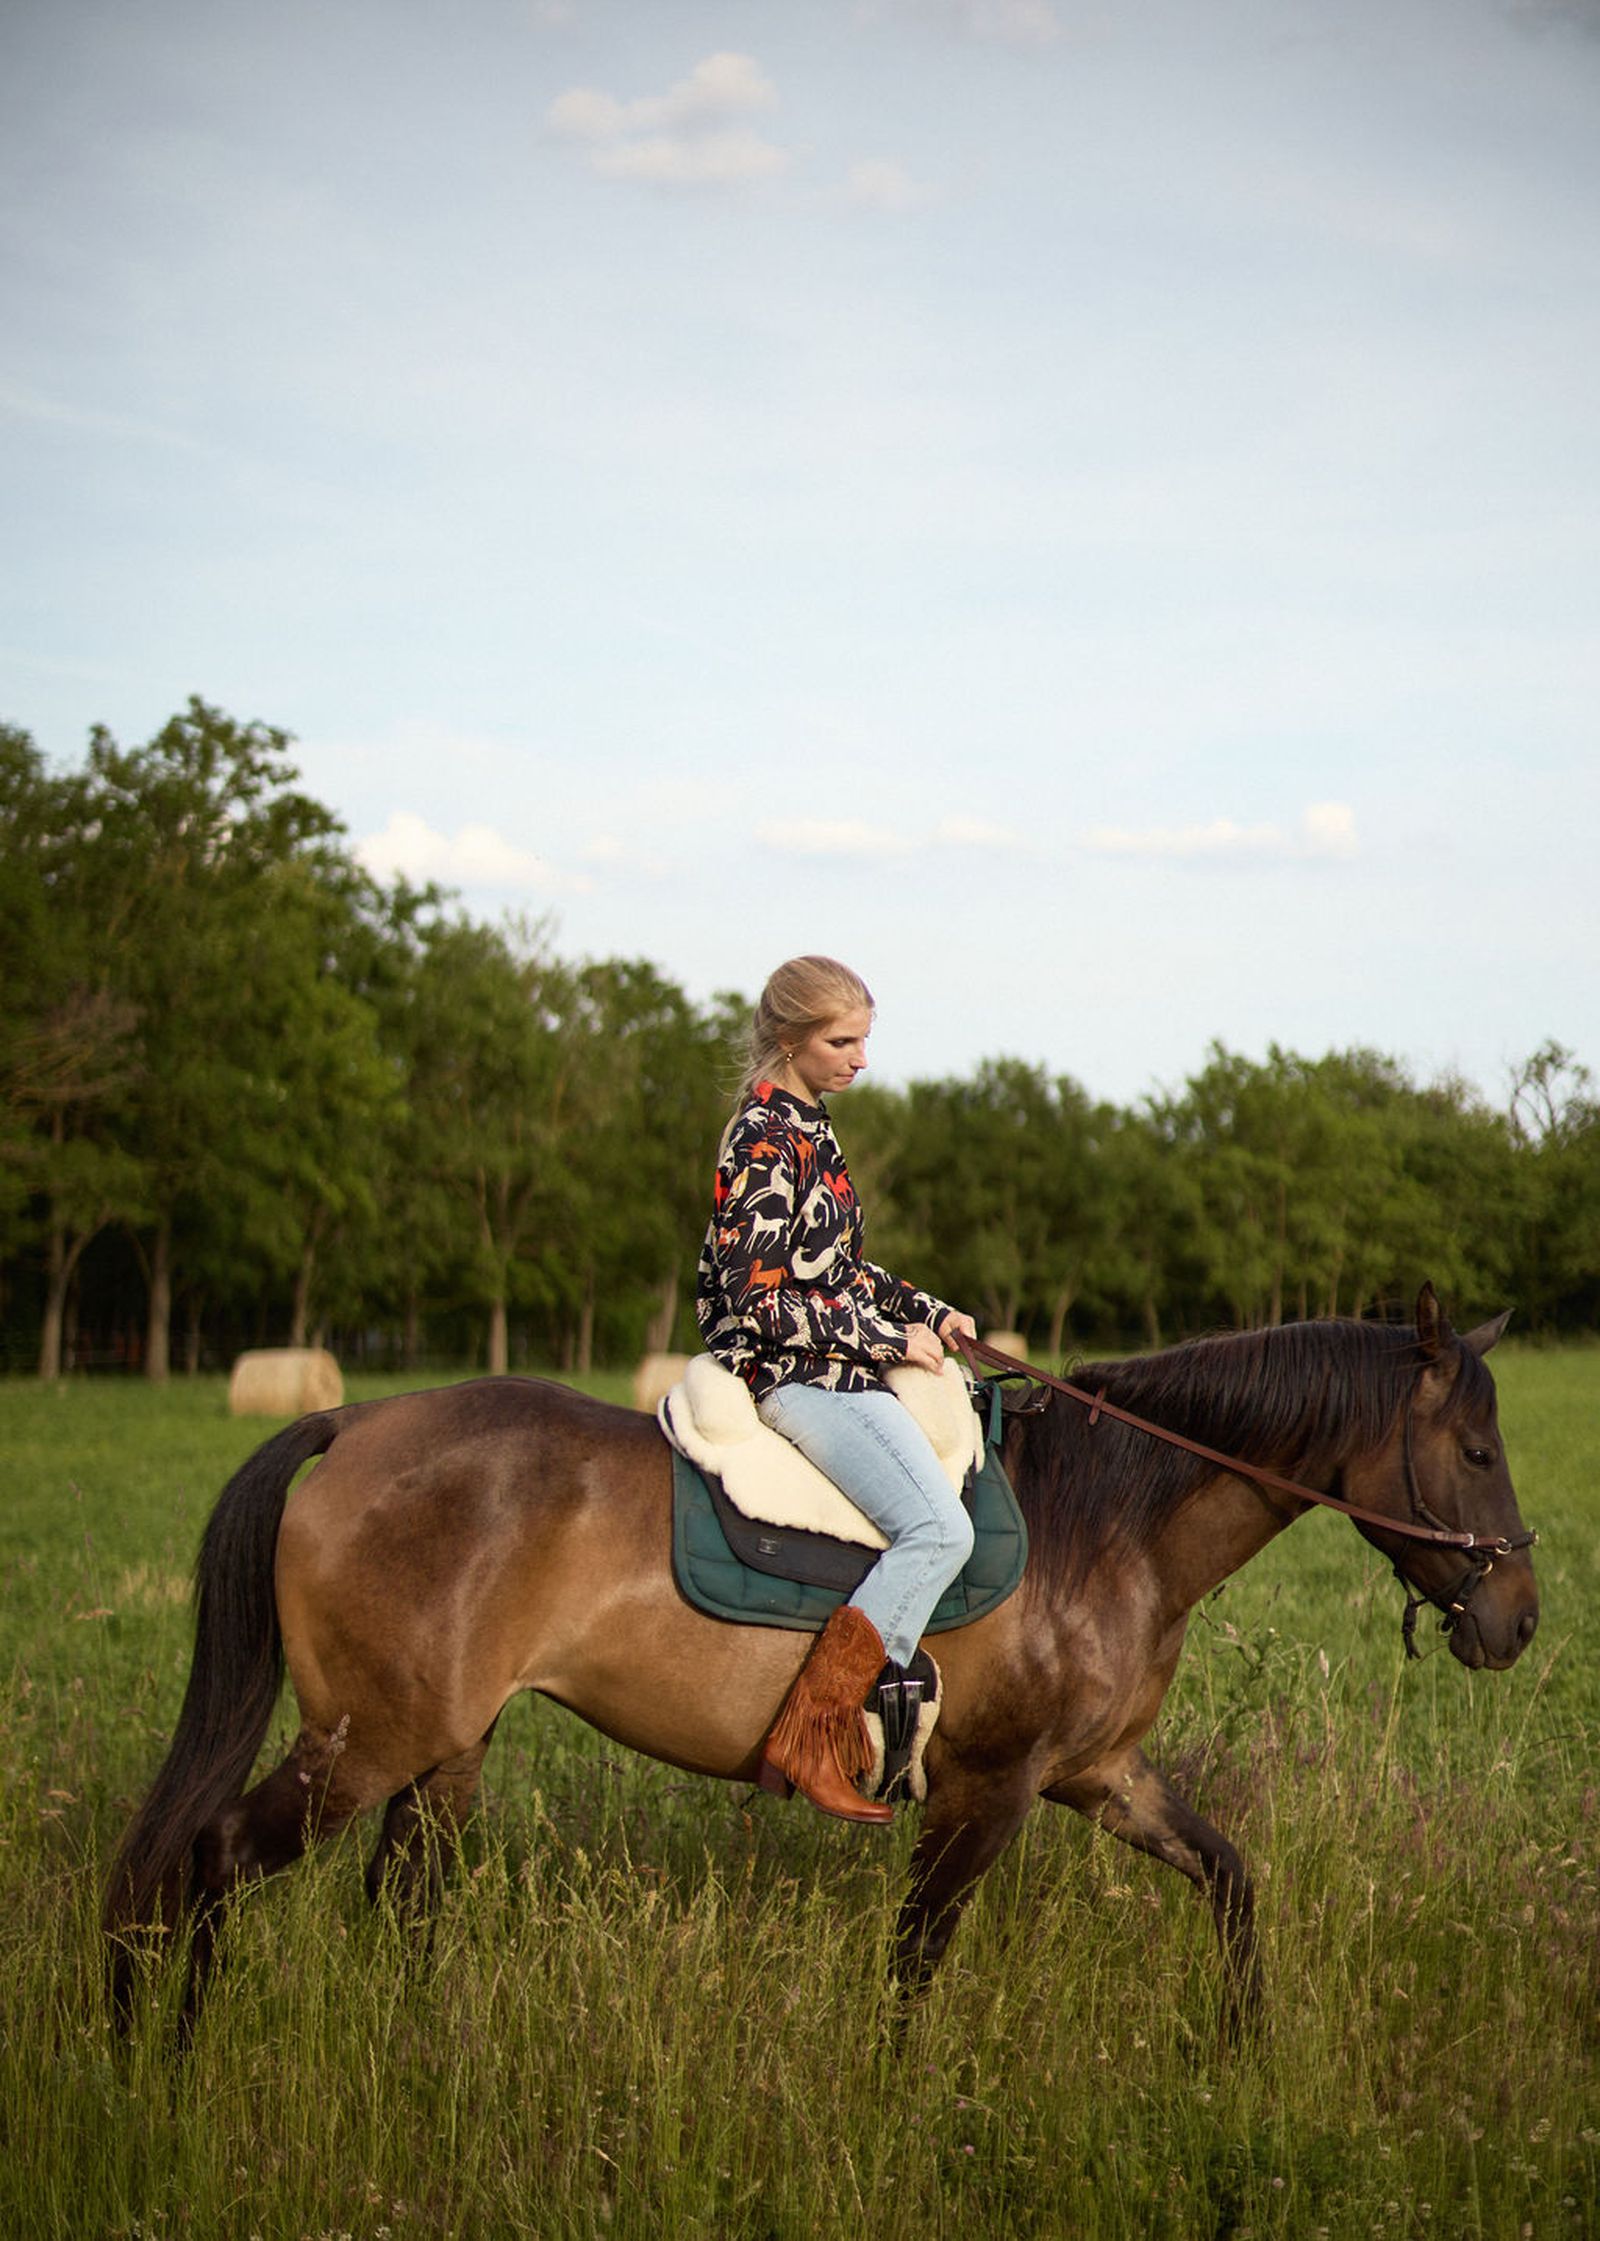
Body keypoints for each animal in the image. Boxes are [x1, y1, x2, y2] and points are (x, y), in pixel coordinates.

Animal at [104, 1285, 1538, 2035]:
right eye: (1474, 1450)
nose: (1519, 1618)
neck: (1107, 1522)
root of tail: (347, 1426)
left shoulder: (1102, 1777)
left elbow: (1232, 1883)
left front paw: (1239, 2048)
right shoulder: (989, 1791)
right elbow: (913, 1967)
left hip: (445, 1751)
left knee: (402, 1900)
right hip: (361, 1745)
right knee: (213, 1859)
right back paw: (179, 2055)